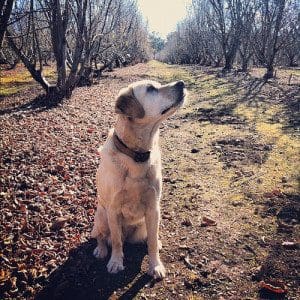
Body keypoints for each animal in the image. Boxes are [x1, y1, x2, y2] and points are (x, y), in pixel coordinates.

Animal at [90, 78, 186, 278]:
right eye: (150, 89)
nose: (181, 83)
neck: (136, 155)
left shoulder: (153, 207)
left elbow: (152, 242)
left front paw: (155, 265)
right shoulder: (113, 209)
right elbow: (116, 241)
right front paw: (116, 262)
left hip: (144, 225)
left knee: (149, 237)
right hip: (101, 216)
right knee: (102, 237)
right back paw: (101, 250)